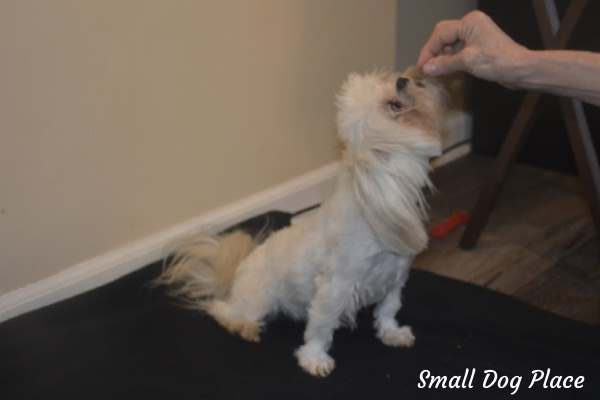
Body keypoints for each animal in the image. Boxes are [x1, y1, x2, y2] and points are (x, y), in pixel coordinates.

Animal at [157, 67, 448, 376]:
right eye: (391, 106)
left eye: (387, 80)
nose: (403, 80)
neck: (374, 211)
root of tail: (236, 270)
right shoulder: (334, 287)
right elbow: (320, 326)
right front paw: (314, 358)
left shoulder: (395, 278)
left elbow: (388, 310)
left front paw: (391, 333)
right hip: (259, 296)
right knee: (222, 310)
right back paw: (244, 326)